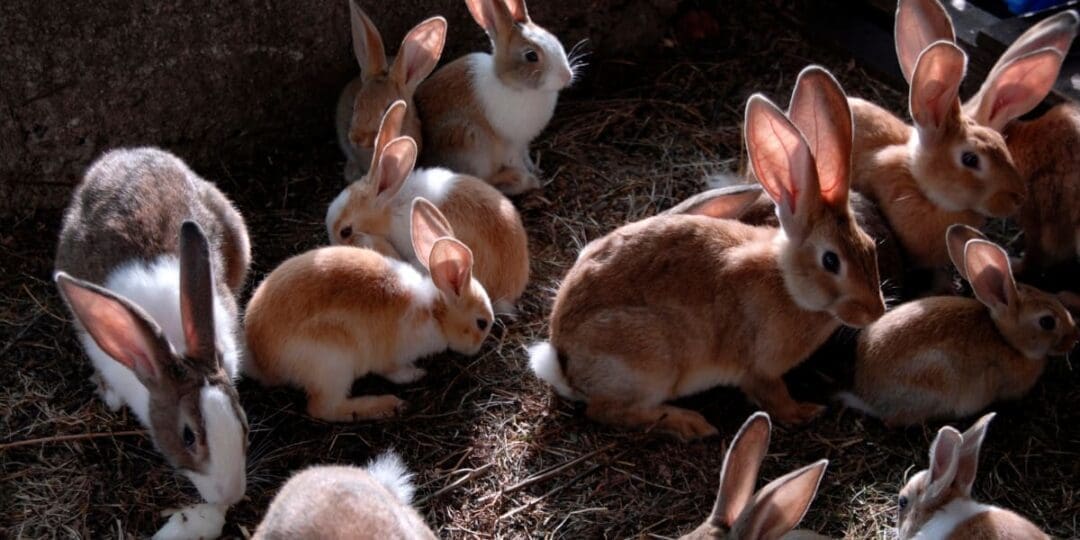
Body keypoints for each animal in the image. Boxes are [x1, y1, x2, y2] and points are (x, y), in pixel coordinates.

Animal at [245, 198, 494, 422]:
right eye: (481, 323)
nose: (477, 349)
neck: (434, 311)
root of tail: (263, 362)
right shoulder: (391, 357)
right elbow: (395, 372)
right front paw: (416, 374)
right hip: (332, 365)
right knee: (322, 408)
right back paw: (384, 406)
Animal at [413, 0, 575, 195]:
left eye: (553, 39)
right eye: (531, 56)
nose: (567, 76)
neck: (510, 84)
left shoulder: (523, 144)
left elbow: (526, 157)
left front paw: (537, 170)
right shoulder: (511, 146)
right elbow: (518, 162)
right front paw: (534, 177)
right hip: (470, 139)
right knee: (484, 179)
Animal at [527, 66, 885, 440]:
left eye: (870, 245)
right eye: (831, 261)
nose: (875, 311)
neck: (787, 283)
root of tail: (561, 359)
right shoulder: (759, 369)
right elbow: (774, 397)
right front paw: (804, 412)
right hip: (652, 361)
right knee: (607, 411)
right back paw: (688, 422)